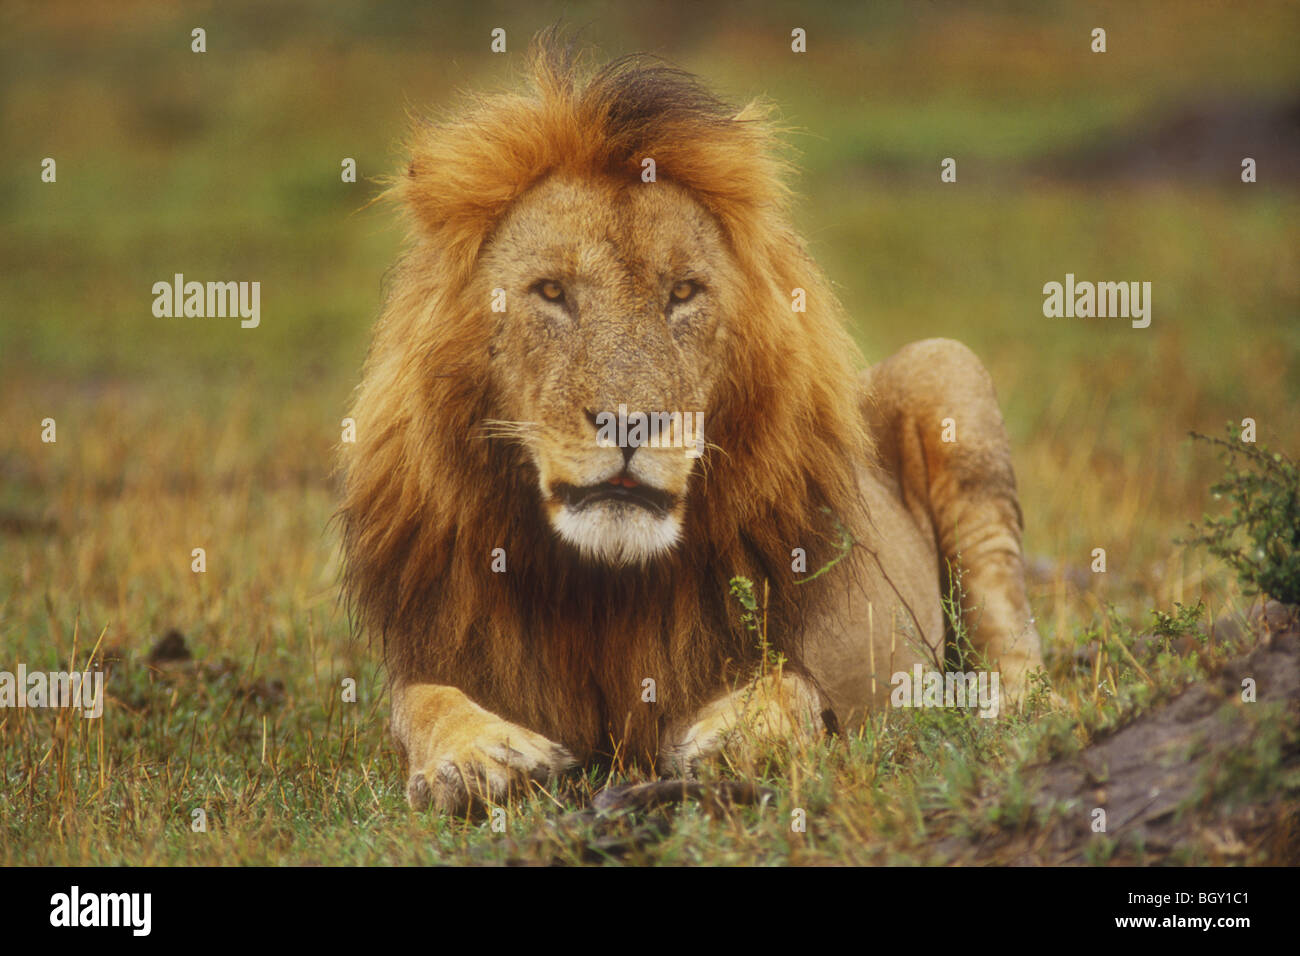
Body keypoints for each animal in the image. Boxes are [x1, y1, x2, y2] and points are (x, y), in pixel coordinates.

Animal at [339, 34, 1044, 813]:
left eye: (683, 293)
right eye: (551, 292)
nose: (630, 423)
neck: (600, 590)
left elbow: (791, 686)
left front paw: (738, 735)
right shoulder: (437, 648)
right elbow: (421, 702)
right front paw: (478, 757)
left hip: (947, 368)